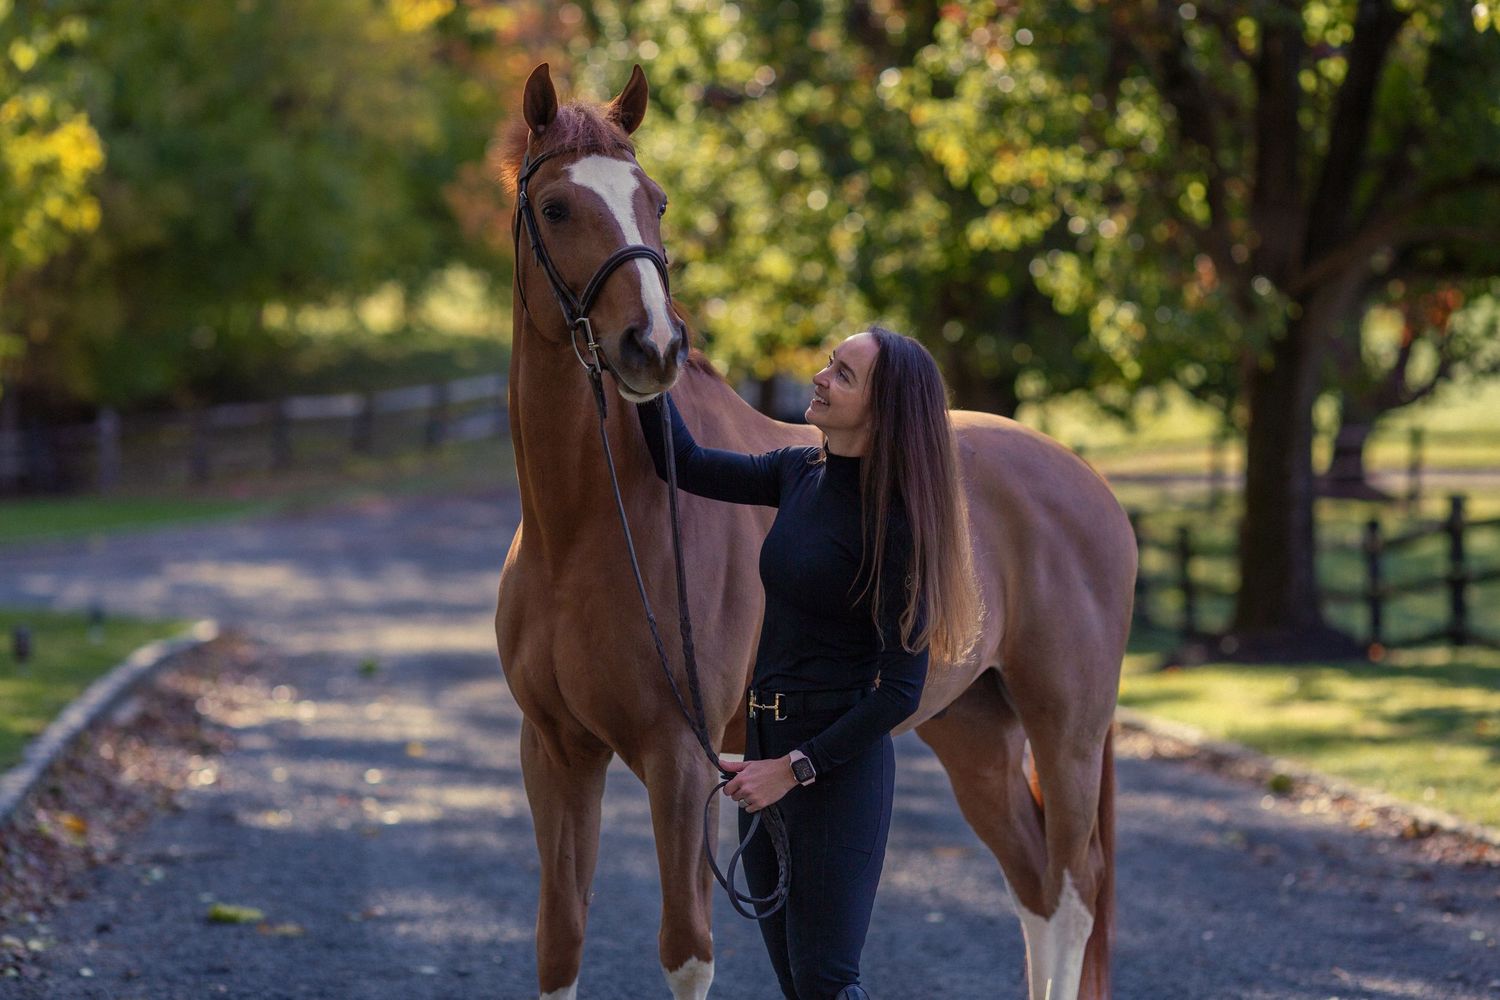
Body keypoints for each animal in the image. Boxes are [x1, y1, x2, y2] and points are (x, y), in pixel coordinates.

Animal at [494, 63, 1137, 1000]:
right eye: (555, 208)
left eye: (655, 199)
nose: (653, 346)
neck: (582, 527)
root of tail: (1091, 485)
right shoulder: (554, 752)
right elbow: (559, 942)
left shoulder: (680, 764)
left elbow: (685, 949)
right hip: (974, 730)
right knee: (1038, 890)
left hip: (1069, 733)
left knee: (1076, 887)